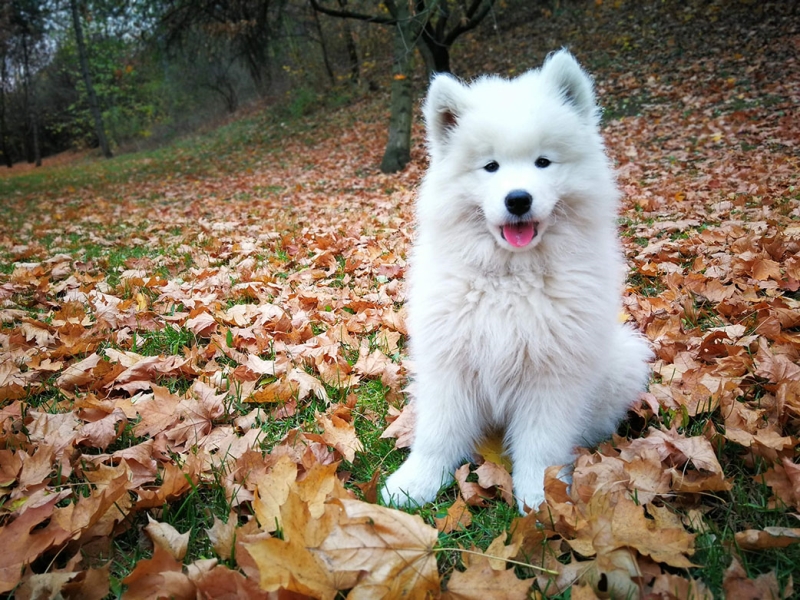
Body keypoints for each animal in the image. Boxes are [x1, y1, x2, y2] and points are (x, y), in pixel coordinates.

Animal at [384, 49, 652, 512]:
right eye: (490, 166)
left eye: (543, 162)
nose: (518, 199)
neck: (510, 277)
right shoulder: (449, 363)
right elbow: (438, 433)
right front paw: (416, 482)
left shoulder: (552, 376)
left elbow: (541, 446)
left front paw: (542, 499)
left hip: (623, 361)